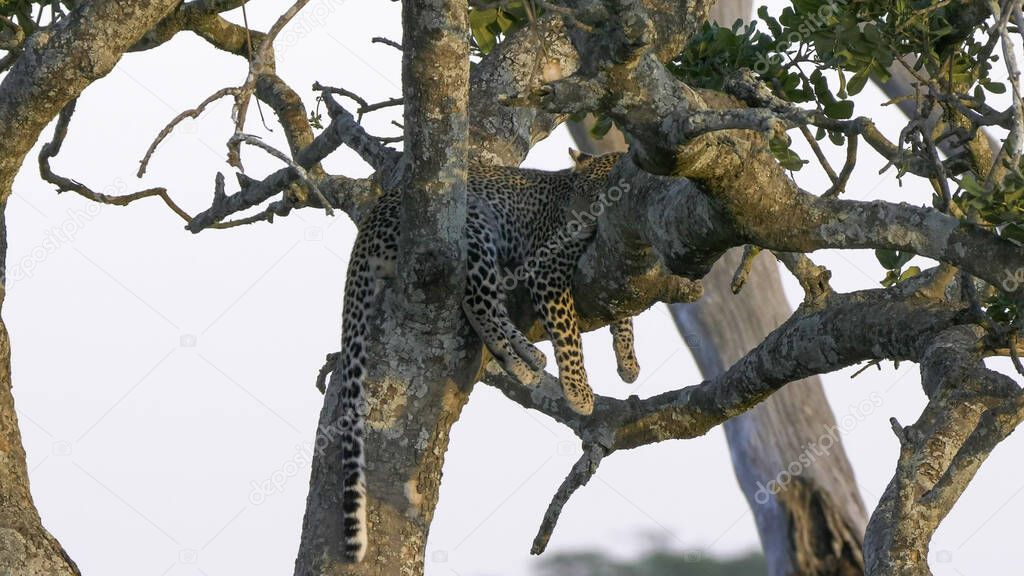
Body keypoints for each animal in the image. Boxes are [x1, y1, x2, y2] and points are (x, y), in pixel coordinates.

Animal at [329, 148, 638, 561]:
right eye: (581, 192)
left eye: (600, 195)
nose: (575, 223)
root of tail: (371, 220)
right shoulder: (548, 268)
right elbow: (569, 333)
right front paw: (578, 392)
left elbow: (625, 311)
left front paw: (629, 363)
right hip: (473, 228)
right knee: (479, 303)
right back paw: (524, 365)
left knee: (480, 304)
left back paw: (527, 358)